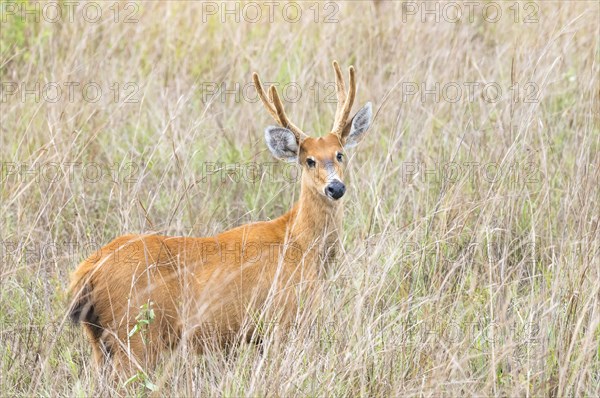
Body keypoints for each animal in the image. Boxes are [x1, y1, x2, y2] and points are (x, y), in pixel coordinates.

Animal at [68, 60, 372, 372]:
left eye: (339, 154)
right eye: (309, 160)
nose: (335, 187)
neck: (301, 244)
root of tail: (88, 272)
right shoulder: (283, 320)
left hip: (100, 342)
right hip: (135, 333)